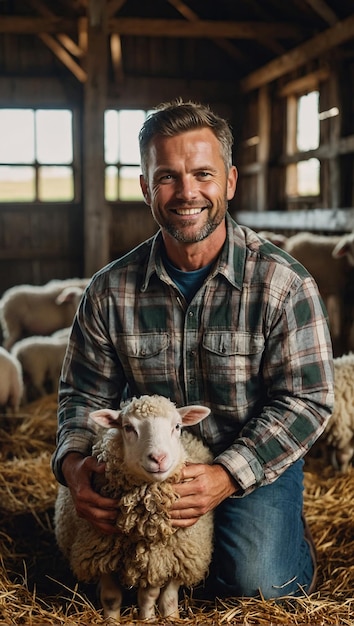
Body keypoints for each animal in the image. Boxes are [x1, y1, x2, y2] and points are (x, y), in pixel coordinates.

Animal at [53, 392, 213, 616]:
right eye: (128, 427)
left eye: (177, 426)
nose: (159, 458)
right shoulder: (99, 554)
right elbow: (111, 597)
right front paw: (111, 619)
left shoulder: (158, 558)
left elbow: (148, 596)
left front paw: (148, 618)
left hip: (184, 554)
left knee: (170, 594)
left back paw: (171, 616)